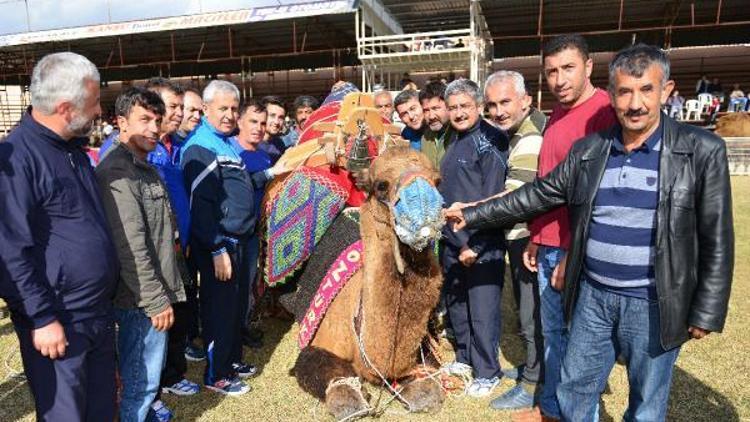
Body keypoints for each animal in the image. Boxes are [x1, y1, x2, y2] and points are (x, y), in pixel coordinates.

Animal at [292, 147, 446, 420]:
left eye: (437, 182)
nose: (426, 213)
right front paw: (350, 400)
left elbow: (428, 385)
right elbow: (327, 375)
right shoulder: (320, 340)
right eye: (381, 185)